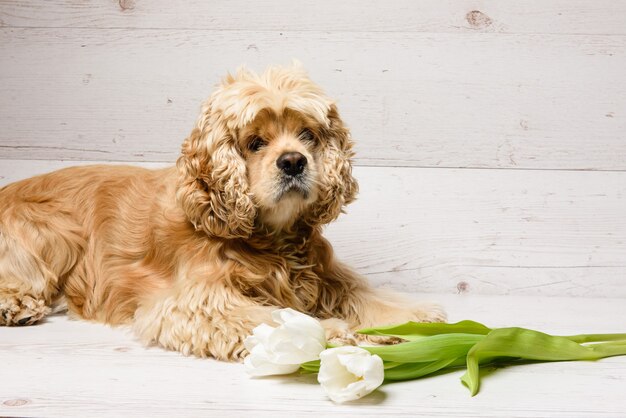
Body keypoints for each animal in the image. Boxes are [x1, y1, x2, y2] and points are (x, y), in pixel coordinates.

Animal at [0, 63, 444, 360]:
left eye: (307, 135)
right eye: (254, 143)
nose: (294, 162)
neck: (272, 239)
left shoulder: (327, 276)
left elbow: (367, 295)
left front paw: (420, 318)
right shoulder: (197, 301)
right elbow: (276, 318)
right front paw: (333, 332)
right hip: (51, 232)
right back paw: (16, 308)